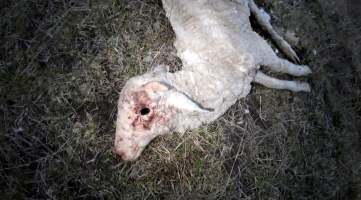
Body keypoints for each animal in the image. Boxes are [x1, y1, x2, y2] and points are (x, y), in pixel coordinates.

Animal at [114, 0, 310, 160]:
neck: (209, 74)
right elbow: (276, 82)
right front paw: (301, 86)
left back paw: (287, 48)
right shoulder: (248, 76)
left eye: (144, 111)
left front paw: (305, 73)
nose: (120, 154)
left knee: (258, 13)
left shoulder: (259, 49)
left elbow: (284, 67)